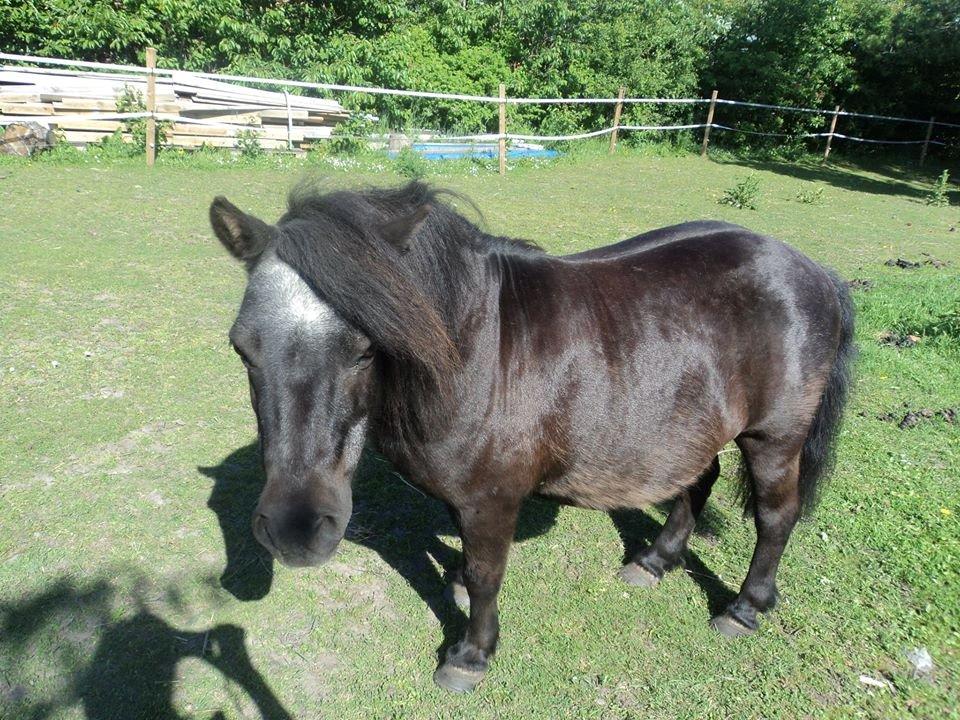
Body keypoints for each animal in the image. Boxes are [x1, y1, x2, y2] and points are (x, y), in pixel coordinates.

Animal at [208, 181, 855, 692]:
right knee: (699, 480)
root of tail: (816, 272)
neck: (472, 355)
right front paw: (458, 590)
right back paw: (655, 560)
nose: (295, 532)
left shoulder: (493, 498)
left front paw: (470, 654)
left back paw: (744, 608)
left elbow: (488, 572)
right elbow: (468, 560)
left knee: (776, 515)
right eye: (243, 348)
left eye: (367, 349)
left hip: (774, 439)